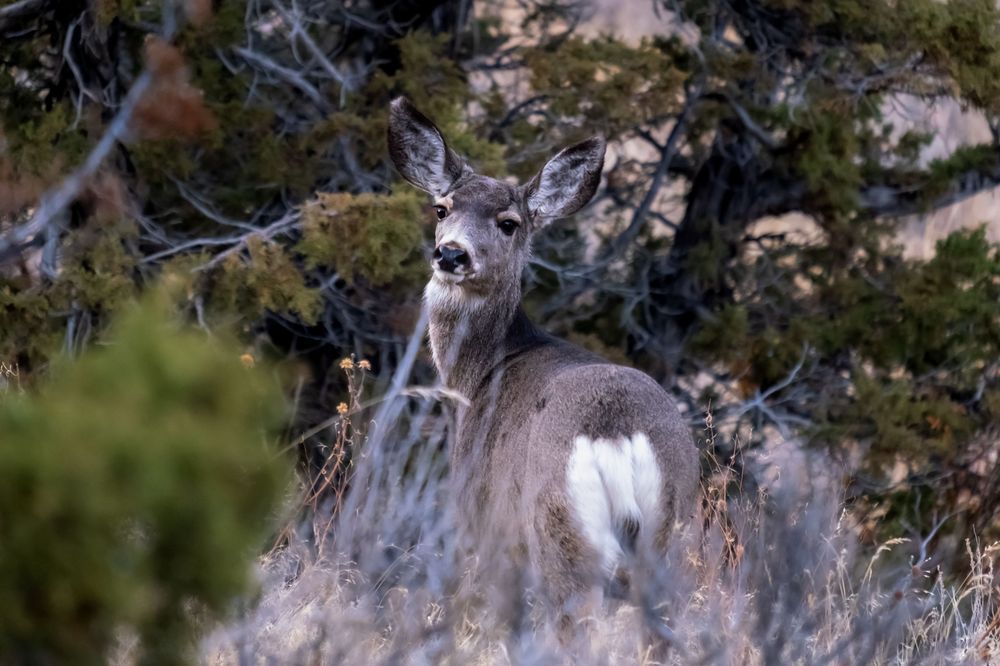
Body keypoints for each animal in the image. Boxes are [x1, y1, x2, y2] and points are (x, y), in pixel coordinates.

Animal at [387, 97, 699, 635]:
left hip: (561, 534)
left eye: (509, 222)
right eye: (441, 209)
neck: (480, 375)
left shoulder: (484, 520)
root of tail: (618, 432)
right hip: (674, 543)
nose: (451, 253)